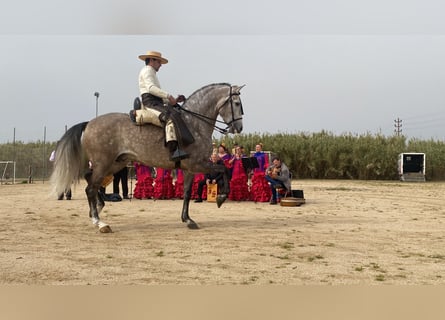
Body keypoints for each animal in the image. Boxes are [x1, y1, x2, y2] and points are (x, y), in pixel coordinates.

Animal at [50, 82, 245, 232]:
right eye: (236, 103)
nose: (239, 128)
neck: (195, 124)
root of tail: (89, 123)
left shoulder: (189, 169)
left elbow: (187, 193)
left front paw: (188, 219)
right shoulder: (198, 164)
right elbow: (224, 169)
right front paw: (221, 197)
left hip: (115, 163)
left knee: (90, 179)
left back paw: (97, 208)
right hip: (104, 163)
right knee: (90, 187)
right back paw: (100, 222)